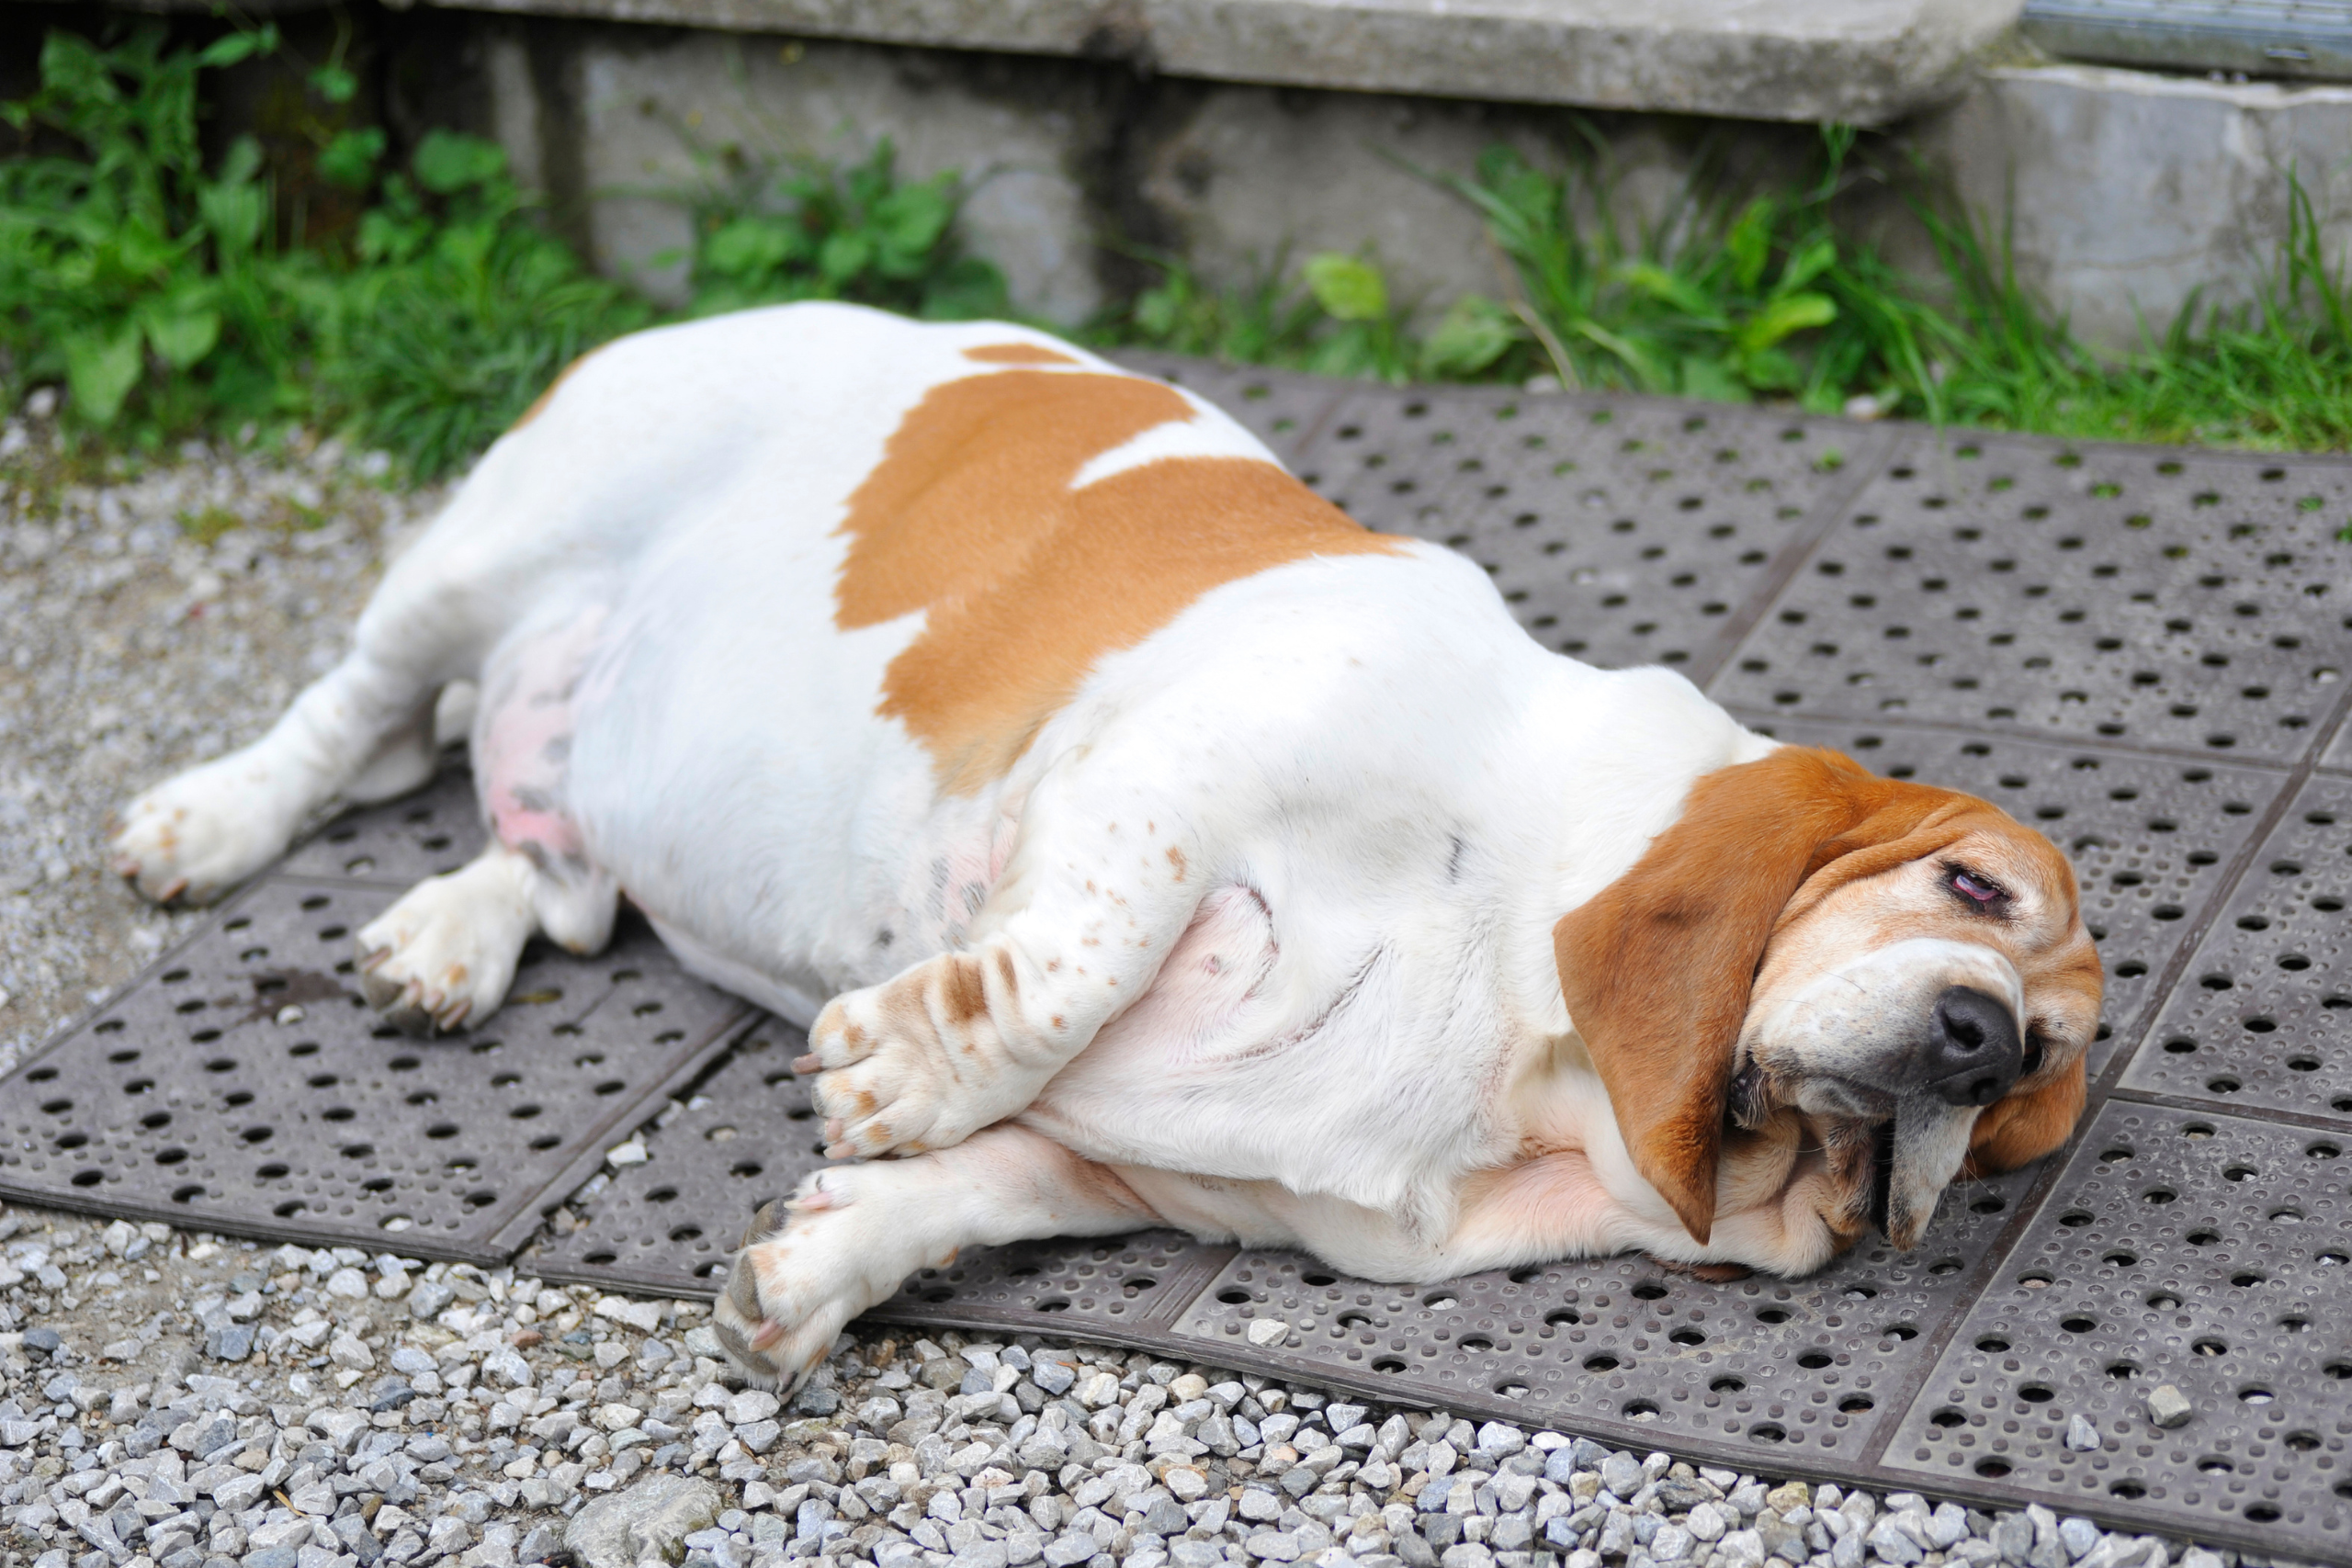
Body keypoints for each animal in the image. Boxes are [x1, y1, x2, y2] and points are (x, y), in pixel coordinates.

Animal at [106, 303, 2098, 1382]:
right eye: (1968, 887)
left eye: (2030, 1088)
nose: (1977, 1034)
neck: (1518, 1032)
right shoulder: (1163, 778)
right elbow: (1063, 971)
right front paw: (897, 1065)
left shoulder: (1151, 1177)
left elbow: (971, 1191)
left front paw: (813, 1272)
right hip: (478, 557)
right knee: (352, 725)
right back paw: (205, 820)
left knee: (545, 855)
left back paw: (448, 939)